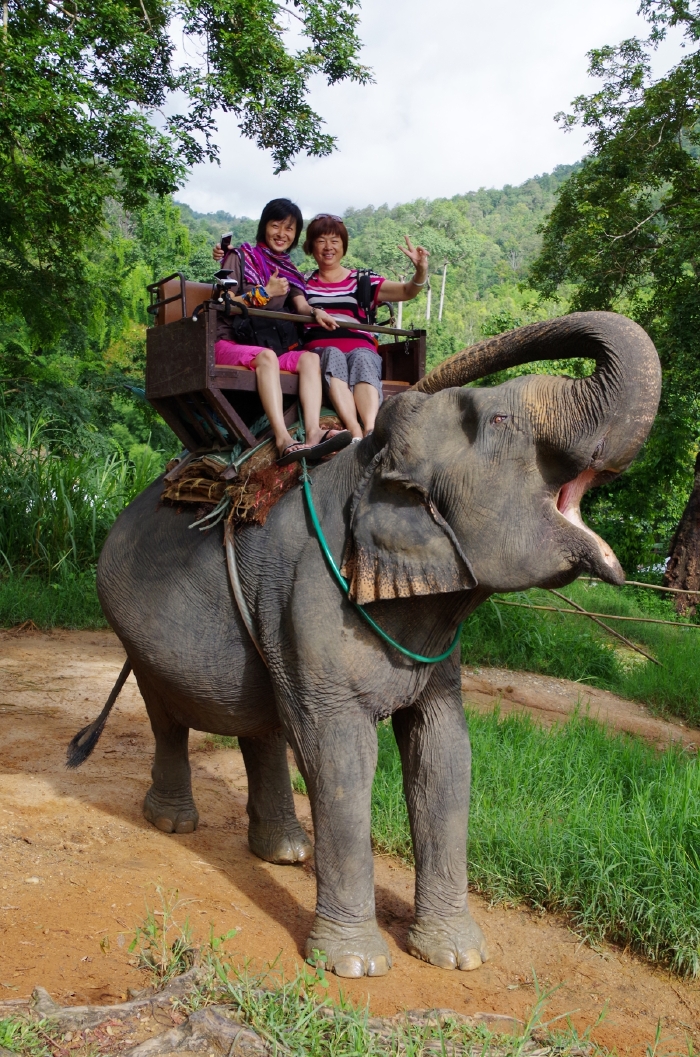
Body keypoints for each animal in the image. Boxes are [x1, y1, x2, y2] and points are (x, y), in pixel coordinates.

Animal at [74, 311, 661, 979]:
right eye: (499, 422)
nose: (390, 407)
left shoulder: (433, 640)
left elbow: (444, 754)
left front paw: (457, 957)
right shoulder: (310, 599)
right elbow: (341, 756)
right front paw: (355, 968)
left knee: (263, 719)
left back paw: (286, 852)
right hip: (129, 614)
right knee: (168, 713)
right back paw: (176, 824)